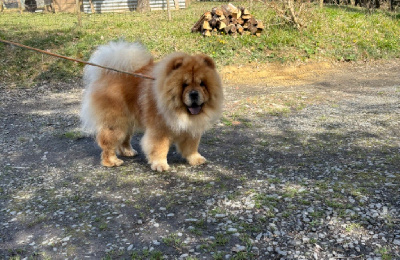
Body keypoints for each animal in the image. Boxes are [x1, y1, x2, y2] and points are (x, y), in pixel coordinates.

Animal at [79, 40, 223, 172]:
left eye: (202, 84)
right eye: (184, 85)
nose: (194, 94)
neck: (180, 111)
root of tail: (107, 73)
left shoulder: (191, 129)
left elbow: (192, 145)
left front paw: (196, 159)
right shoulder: (159, 130)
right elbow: (159, 148)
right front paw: (160, 165)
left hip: (128, 121)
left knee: (125, 138)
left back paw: (128, 151)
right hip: (116, 123)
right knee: (107, 142)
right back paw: (112, 161)